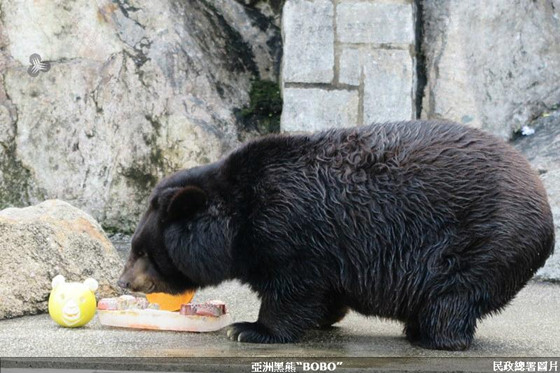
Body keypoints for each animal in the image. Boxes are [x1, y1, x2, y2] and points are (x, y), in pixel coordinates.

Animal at [119, 121, 556, 348]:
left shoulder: (291, 228)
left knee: (453, 296)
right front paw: (322, 319)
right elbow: (322, 293)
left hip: (479, 241)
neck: (239, 219)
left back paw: (430, 336)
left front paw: (248, 328)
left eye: (143, 251)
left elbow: (294, 287)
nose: (123, 282)